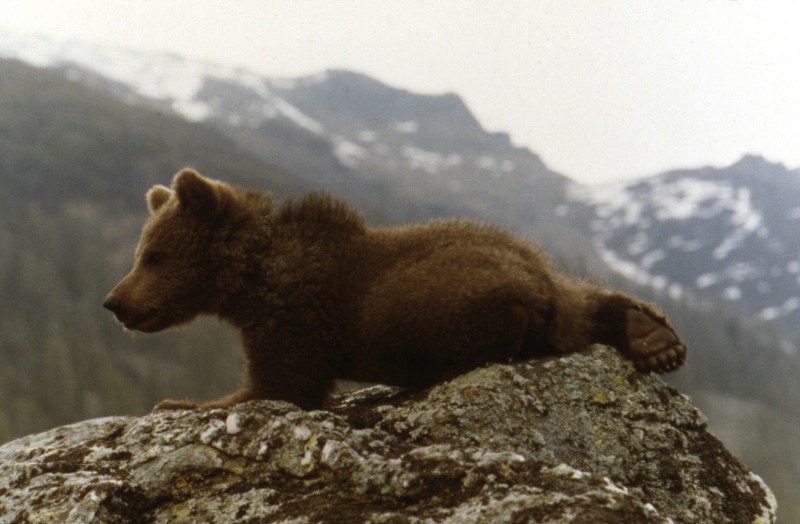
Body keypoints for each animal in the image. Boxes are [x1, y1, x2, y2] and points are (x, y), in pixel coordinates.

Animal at [103, 168, 686, 410]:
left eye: (155, 255)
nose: (114, 302)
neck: (251, 282)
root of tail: (535, 282)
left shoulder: (296, 316)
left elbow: (282, 384)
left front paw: (178, 402)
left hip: (416, 299)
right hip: (533, 265)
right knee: (578, 297)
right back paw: (652, 335)